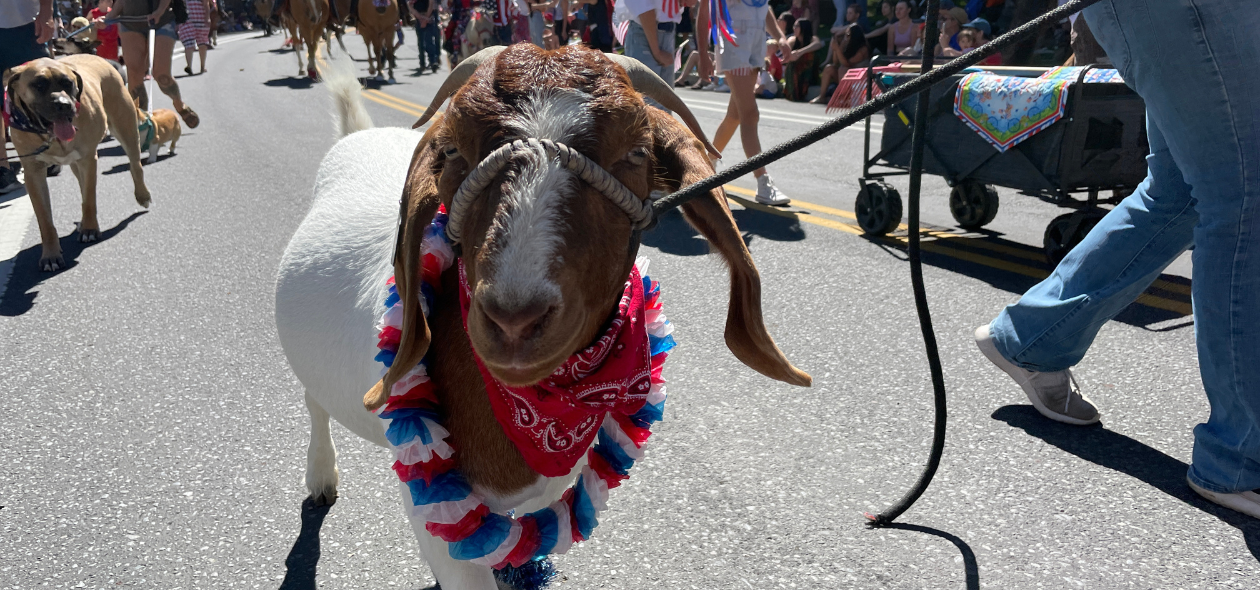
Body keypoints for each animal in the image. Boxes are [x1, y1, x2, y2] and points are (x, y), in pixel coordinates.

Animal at [4, 55, 150, 272]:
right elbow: (44, 219)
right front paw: (51, 255)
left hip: (125, 127)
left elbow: (89, 199)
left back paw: (142, 195)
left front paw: (90, 229)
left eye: (68, 83)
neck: (52, 137)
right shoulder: (33, 173)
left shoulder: (88, 159)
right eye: (38, 84)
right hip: (75, 163)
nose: (64, 104)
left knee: (135, 165)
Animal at [274, 43, 806, 587]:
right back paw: (320, 474)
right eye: (453, 153)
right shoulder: (435, 528)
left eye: (636, 153)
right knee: (312, 399)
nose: (515, 318)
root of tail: (358, 134)